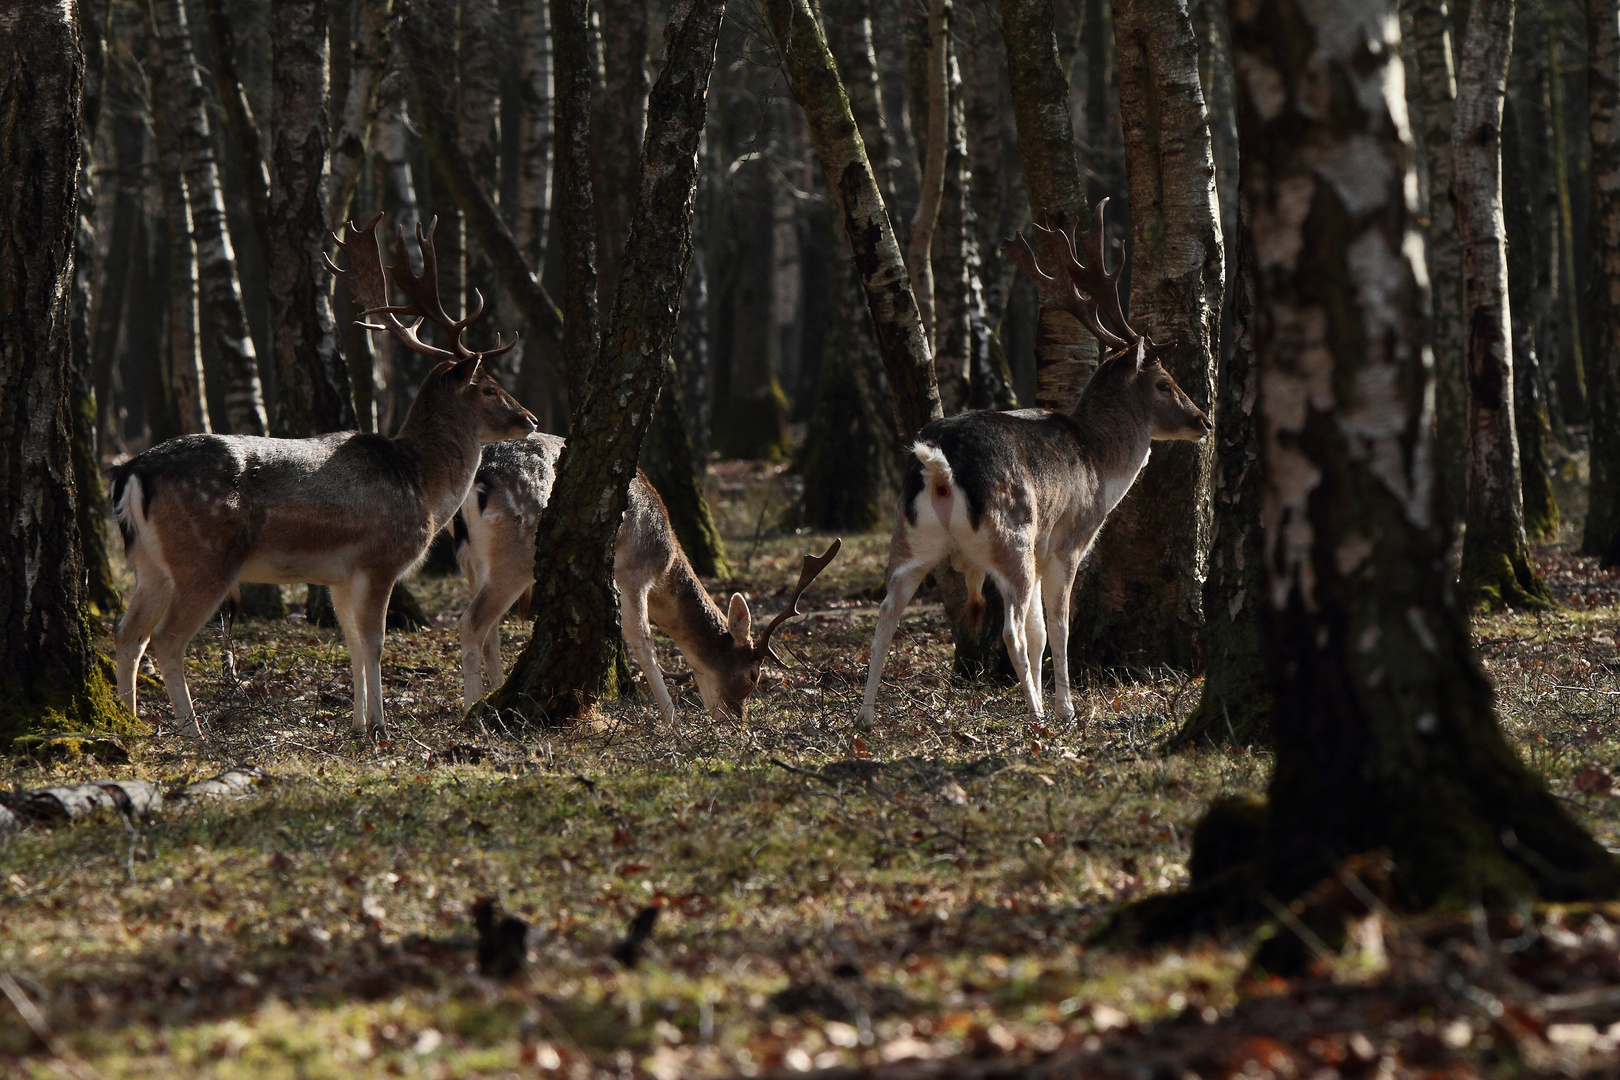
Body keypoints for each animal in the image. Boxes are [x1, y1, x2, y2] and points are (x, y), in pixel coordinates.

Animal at [109, 213, 537, 735]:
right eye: (489, 388)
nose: (530, 418)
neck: (422, 482)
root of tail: (132, 471)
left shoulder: (339, 575)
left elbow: (351, 642)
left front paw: (356, 723)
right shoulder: (380, 558)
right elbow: (374, 641)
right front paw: (379, 726)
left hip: (149, 564)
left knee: (128, 634)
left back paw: (128, 725)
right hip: (205, 558)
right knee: (167, 640)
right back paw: (195, 733)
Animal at [453, 433, 842, 722]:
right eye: (753, 675)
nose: (737, 720)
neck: (665, 559)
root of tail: (479, 480)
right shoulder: (633, 573)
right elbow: (641, 638)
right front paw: (672, 720)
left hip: (472, 560)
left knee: (489, 631)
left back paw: (493, 697)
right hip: (517, 555)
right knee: (471, 621)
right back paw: (470, 711)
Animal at [855, 198, 1211, 731]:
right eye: (1165, 382)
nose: (1203, 419)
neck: (1100, 464)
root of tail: (938, 468)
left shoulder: (1044, 552)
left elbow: (1043, 633)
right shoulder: (1067, 541)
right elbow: (1058, 628)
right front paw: (1066, 707)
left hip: (909, 538)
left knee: (884, 617)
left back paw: (865, 716)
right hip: (1013, 537)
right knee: (1010, 631)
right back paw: (1038, 713)